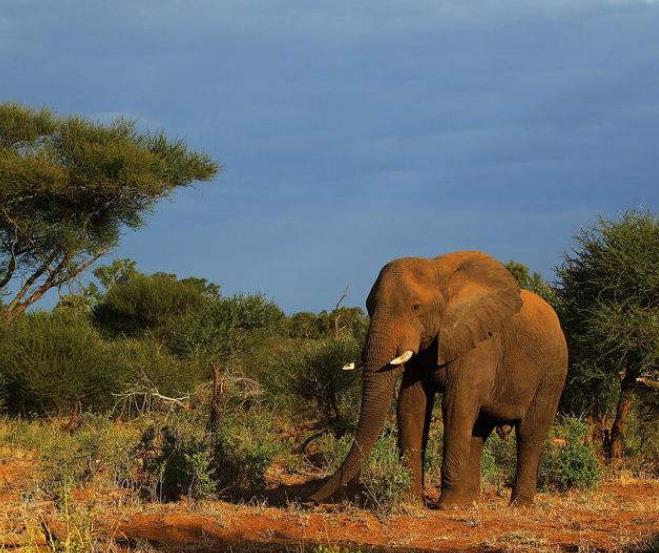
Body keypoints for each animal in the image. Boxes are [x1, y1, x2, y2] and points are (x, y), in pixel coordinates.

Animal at [312, 252, 568, 506]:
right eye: (369, 307)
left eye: (416, 307)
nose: (310, 498)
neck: (440, 273)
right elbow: (412, 404)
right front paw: (410, 501)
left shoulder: (479, 342)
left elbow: (456, 406)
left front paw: (447, 507)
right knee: (479, 431)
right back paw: (470, 501)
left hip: (553, 372)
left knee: (529, 434)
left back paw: (518, 504)